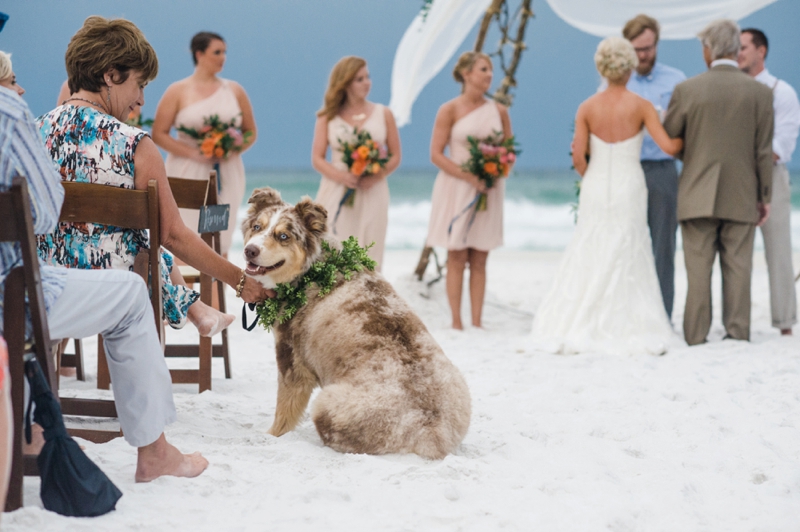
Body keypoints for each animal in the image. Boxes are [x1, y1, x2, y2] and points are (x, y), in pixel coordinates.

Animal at [241, 189, 472, 460]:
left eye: (283, 236)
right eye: (257, 227)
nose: (249, 250)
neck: (314, 270)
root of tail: (432, 432)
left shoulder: (292, 361)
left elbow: (283, 413)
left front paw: (271, 436)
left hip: (326, 404)